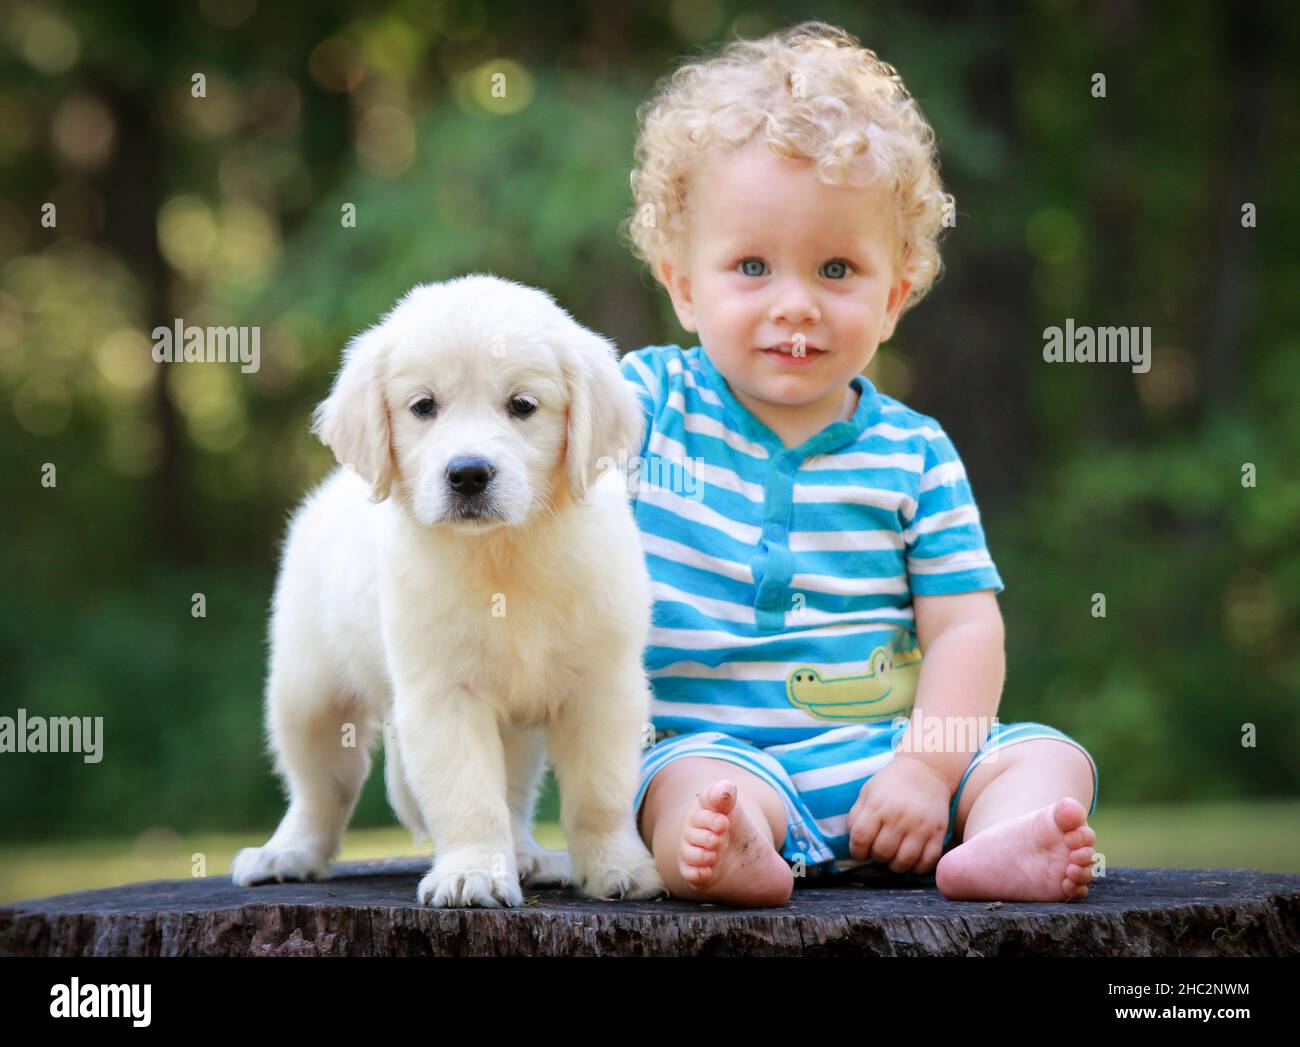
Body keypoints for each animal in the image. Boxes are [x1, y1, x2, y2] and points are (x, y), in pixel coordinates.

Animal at [227, 278, 665, 905]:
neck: (503, 554)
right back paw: (285, 853)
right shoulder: (442, 693)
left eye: (523, 406)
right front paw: (473, 872)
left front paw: (618, 867)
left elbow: (600, 792)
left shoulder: (603, 685)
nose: (468, 474)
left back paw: (527, 855)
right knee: (321, 787)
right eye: (423, 407)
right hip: (307, 691)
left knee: (514, 792)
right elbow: (467, 796)